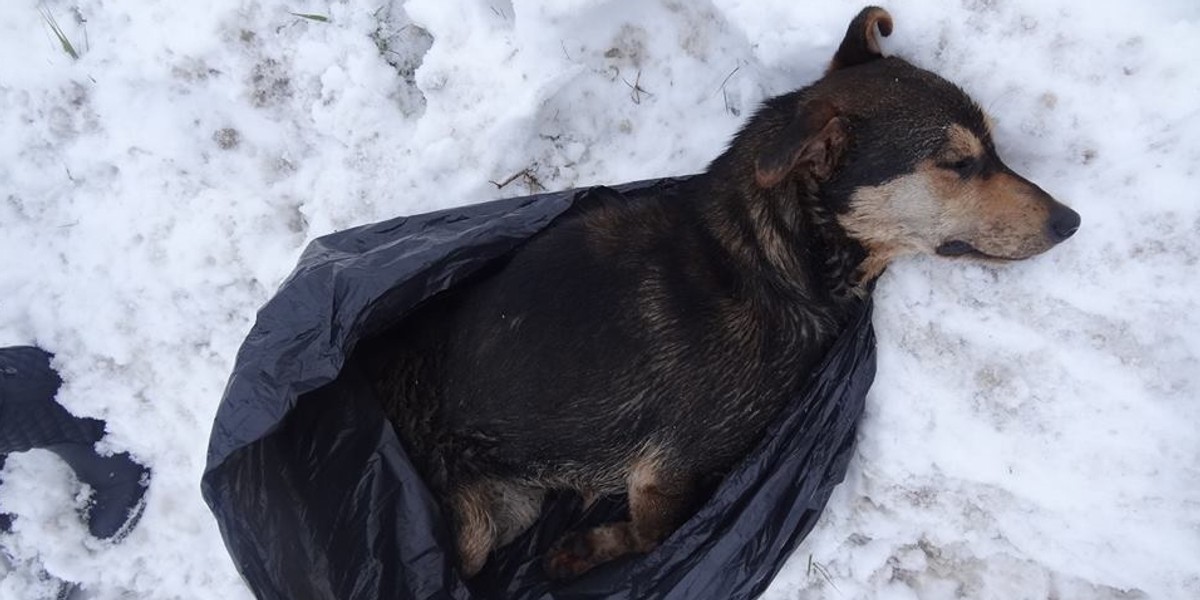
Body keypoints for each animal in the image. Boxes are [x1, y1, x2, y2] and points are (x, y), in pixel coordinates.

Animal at [352, 5, 1080, 580]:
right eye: (958, 163)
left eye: (993, 146)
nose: (1070, 221)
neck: (765, 263)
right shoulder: (666, 469)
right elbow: (654, 535)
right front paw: (586, 552)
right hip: (476, 521)